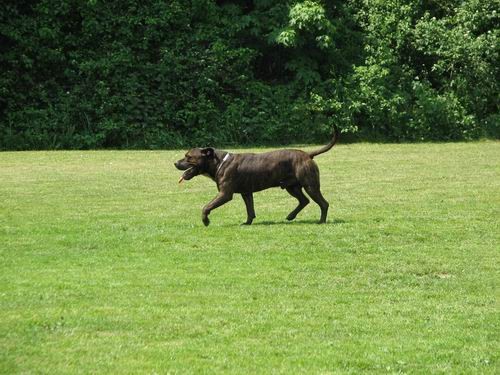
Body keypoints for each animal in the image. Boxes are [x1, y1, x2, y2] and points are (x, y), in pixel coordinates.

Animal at [174, 128, 338, 226]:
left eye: (188, 157)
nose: (175, 163)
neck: (219, 162)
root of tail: (308, 154)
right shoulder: (246, 193)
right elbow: (250, 209)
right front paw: (247, 222)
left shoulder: (225, 194)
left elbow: (206, 206)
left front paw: (206, 220)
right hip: (292, 187)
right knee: (304, 200)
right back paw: (291, 216)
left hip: (310, 186)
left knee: (323, 203)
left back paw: (321, 221)